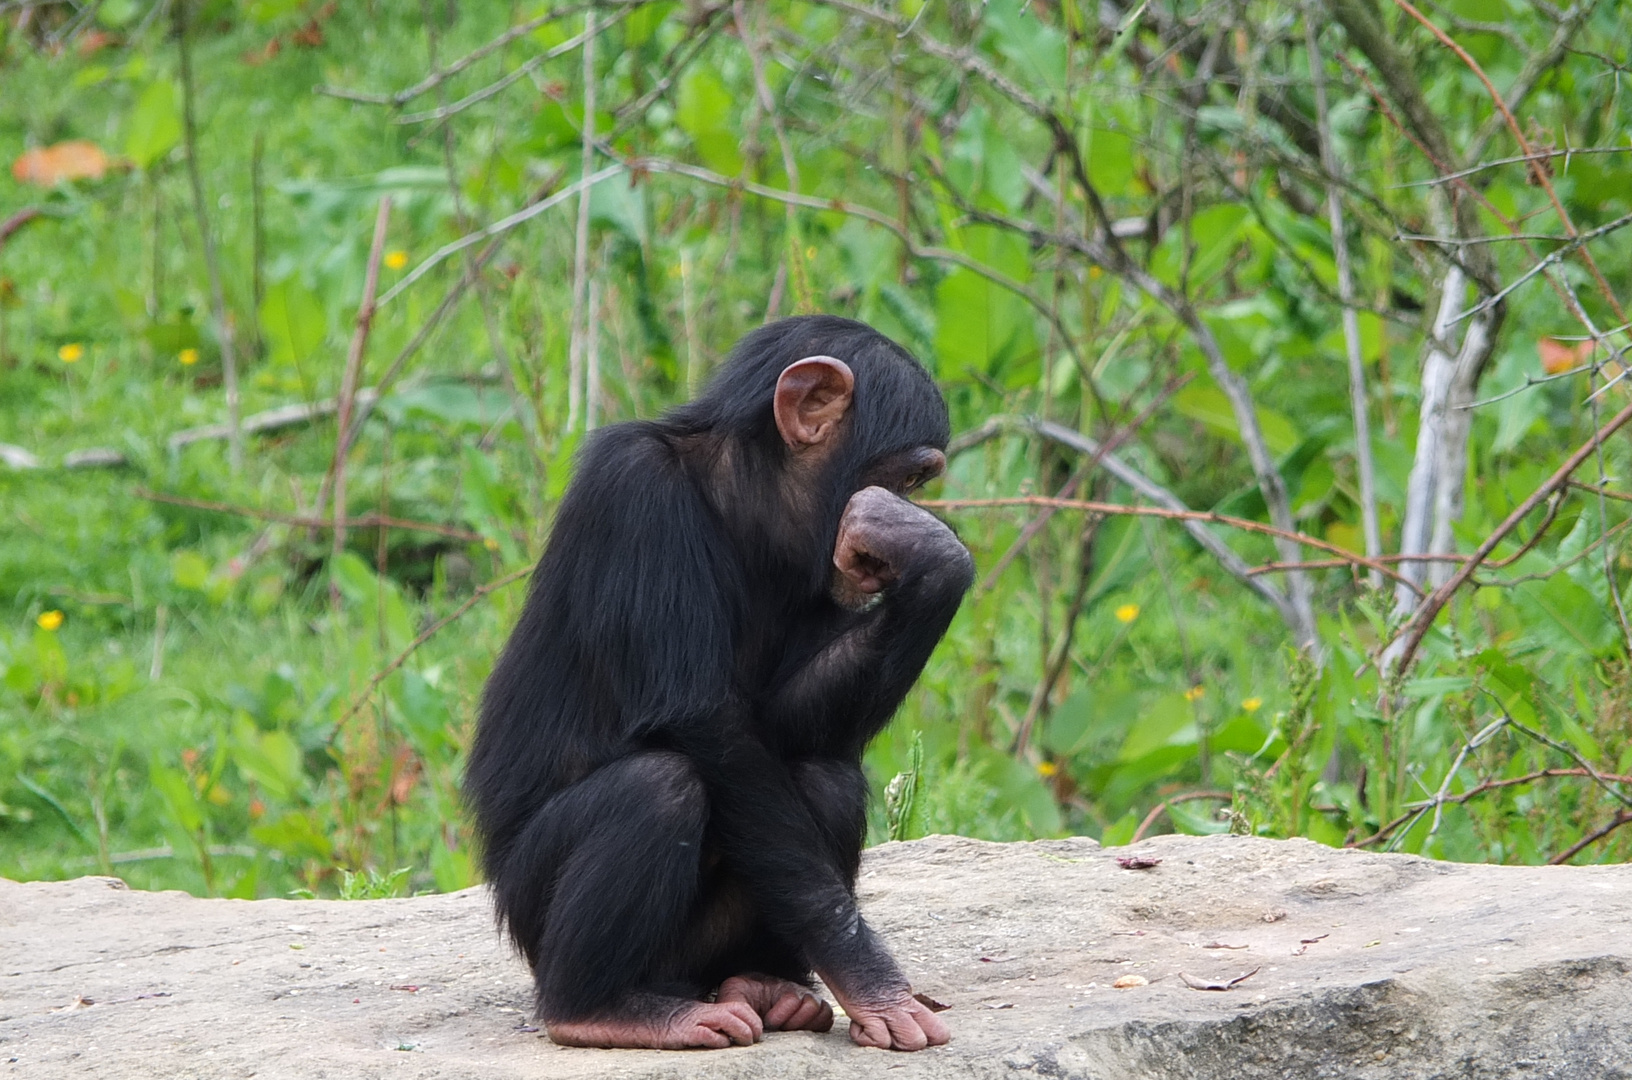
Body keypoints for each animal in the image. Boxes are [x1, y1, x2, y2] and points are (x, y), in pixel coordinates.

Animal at [466, 314, 972, 1057]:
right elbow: (704, 720)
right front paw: (870, 978)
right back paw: (601, 1009)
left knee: (825, 776)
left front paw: (932, 554)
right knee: (656, 789)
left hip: (705, 952)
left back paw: (764, 983)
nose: (905, 509)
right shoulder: (635, 491)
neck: (745, 498)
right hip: (532, 915)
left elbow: (780, 726)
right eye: (909, 474)